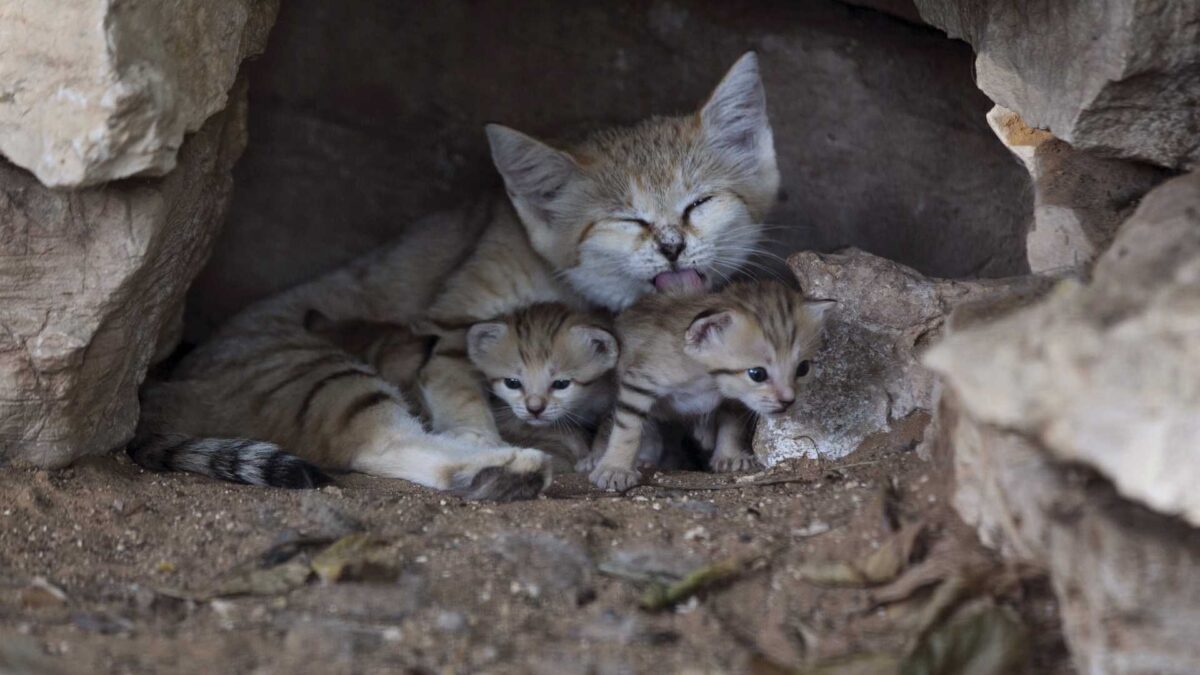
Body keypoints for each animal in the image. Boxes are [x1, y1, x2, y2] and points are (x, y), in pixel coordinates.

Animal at [590, 278, 835, 487]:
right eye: (757, 374)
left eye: (803, 368)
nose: (788, 401)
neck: (707, 379)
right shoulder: (640, 382)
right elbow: (627, 428)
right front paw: (616, 468)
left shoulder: (734, 399)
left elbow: (732, 424)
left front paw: (730, 455)